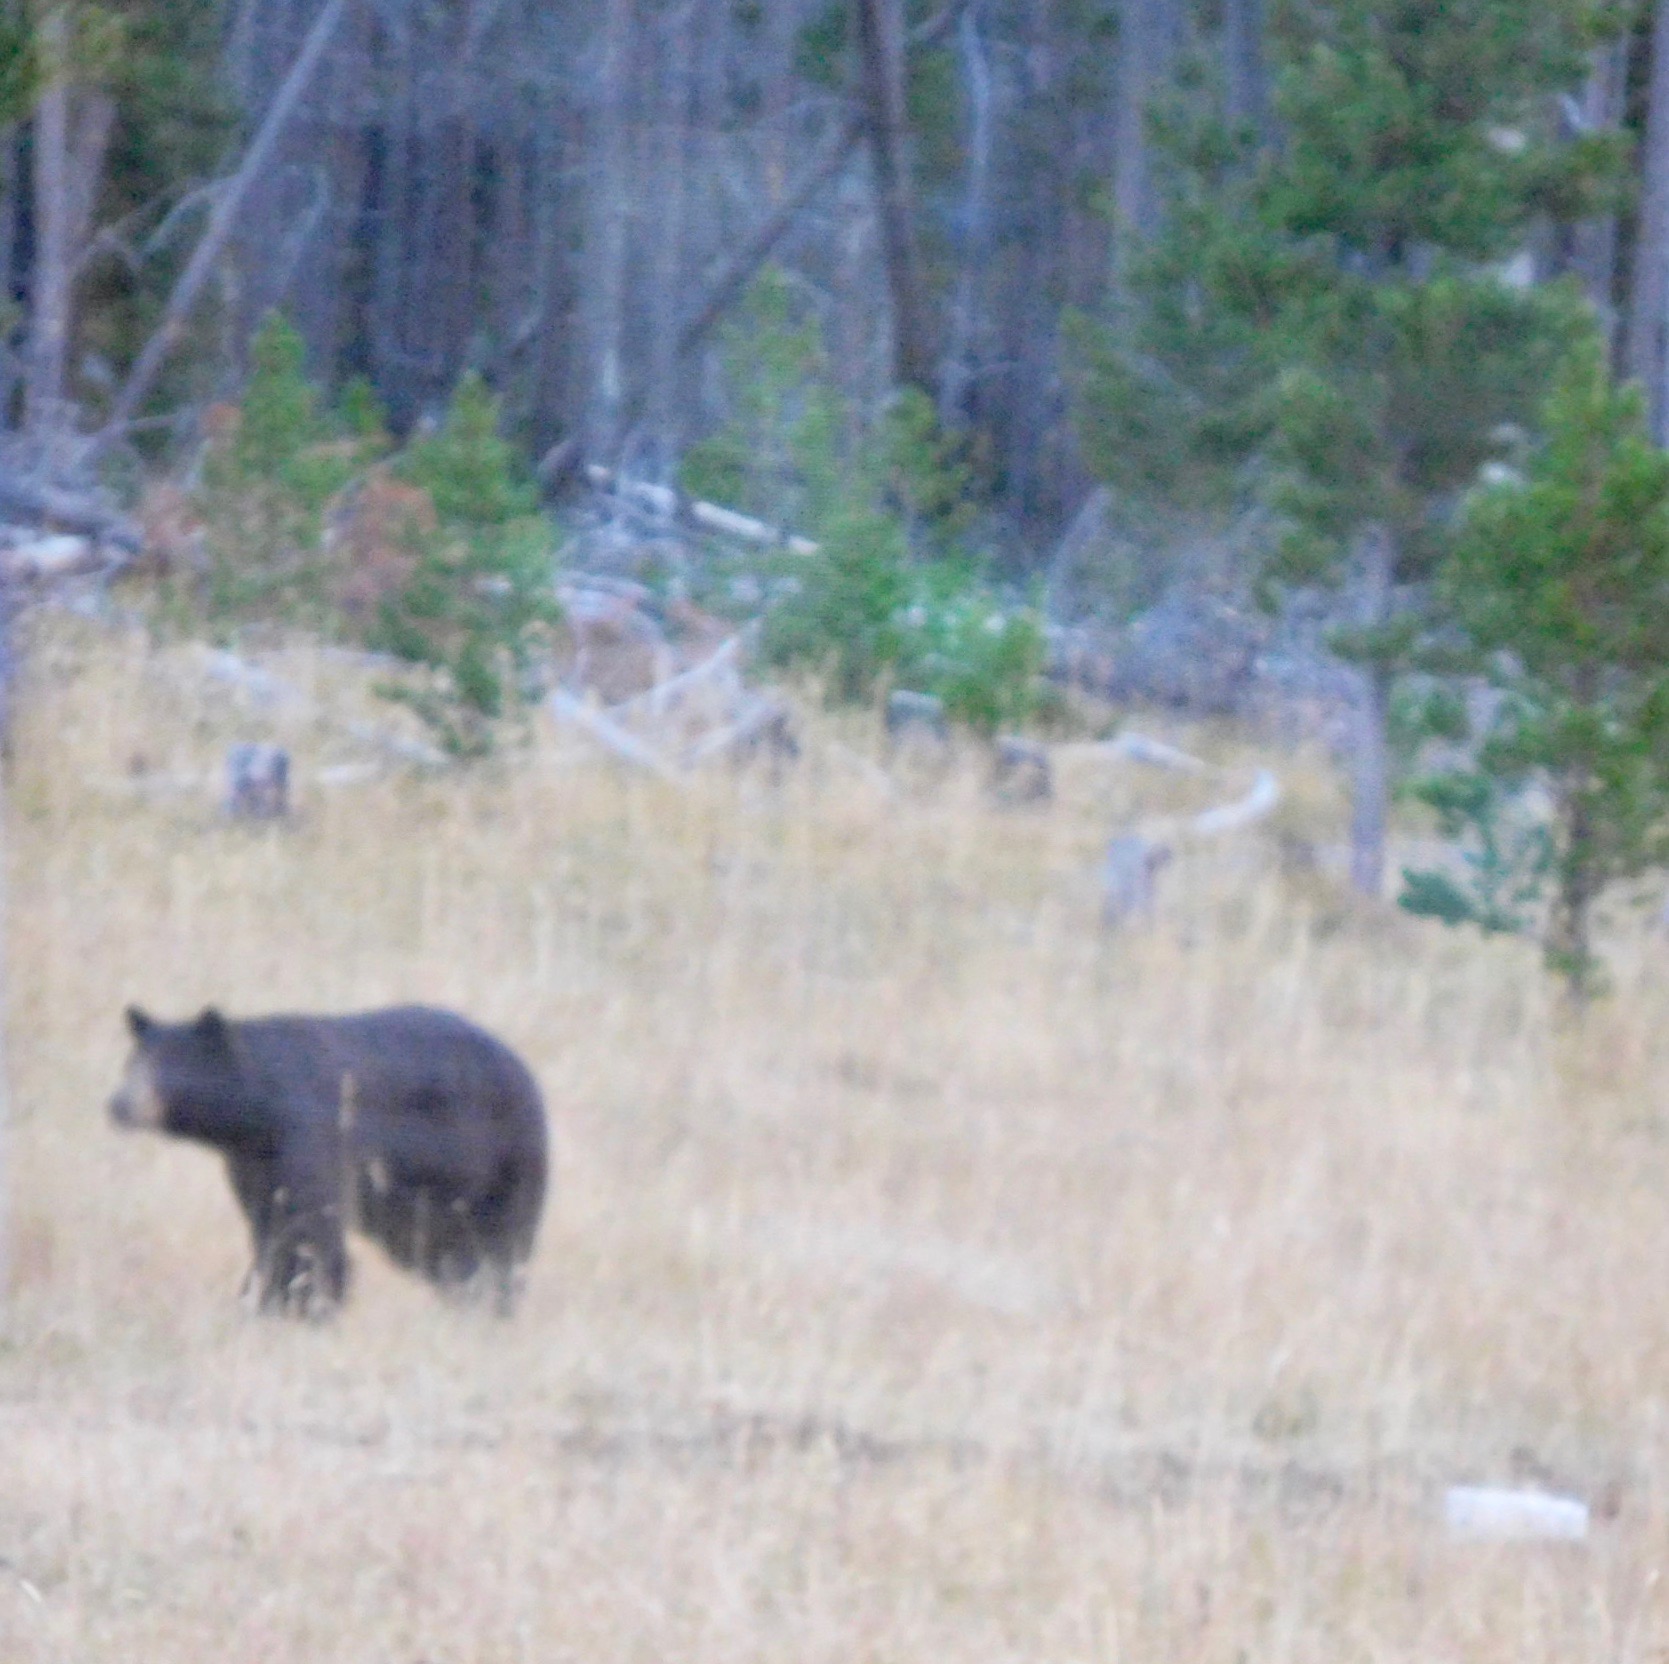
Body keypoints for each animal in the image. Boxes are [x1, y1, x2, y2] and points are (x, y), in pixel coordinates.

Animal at [109, 1004, 549, 1317]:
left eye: (166, 1070)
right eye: (131, 1065)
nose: (117, 1104)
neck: (260, 1113)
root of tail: (524, 1070)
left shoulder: (310, 1133)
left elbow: (309, 1226)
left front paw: (303, 1300)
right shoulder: (253, 1162)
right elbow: (271, 1221)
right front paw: (266, 1295)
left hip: (500, 1158)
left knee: (500, 1240)